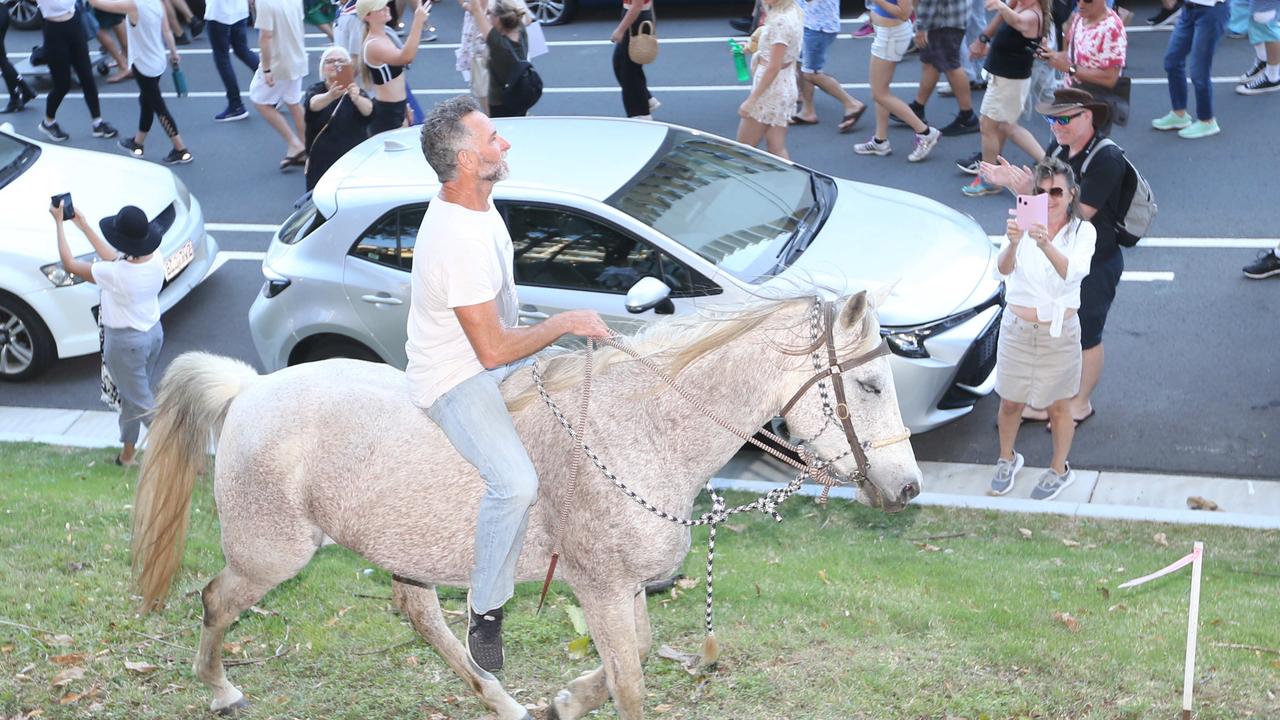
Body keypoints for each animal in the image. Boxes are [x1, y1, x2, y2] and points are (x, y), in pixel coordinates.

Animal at [132, 288, 921, 712]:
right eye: (869, 384)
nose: (908, 487)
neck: (637, 431)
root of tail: (248, 390)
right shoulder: (601, 587)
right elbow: (632, 682)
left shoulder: (623, 589)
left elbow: (632, 656)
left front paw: (565, 701)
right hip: (273, 553)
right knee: (215, 600)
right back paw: (220, 689)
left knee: (421, 616)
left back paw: (504, 703)